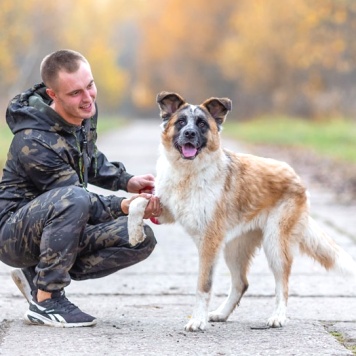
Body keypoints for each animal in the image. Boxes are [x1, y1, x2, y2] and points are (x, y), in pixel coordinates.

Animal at [128, 91, 356, 330]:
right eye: (180, 122)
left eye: (202, 124)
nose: (189, 133)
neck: (188, 172)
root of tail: (295, 175)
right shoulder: (166, 212)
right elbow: (138, 201)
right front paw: (134, 232)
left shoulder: (209, 241)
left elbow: (203, 286)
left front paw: (197, 320)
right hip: (234, 248)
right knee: (241, 283)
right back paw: (221, 313)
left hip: (275, 244)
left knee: (282, 284)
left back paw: (278, 316)